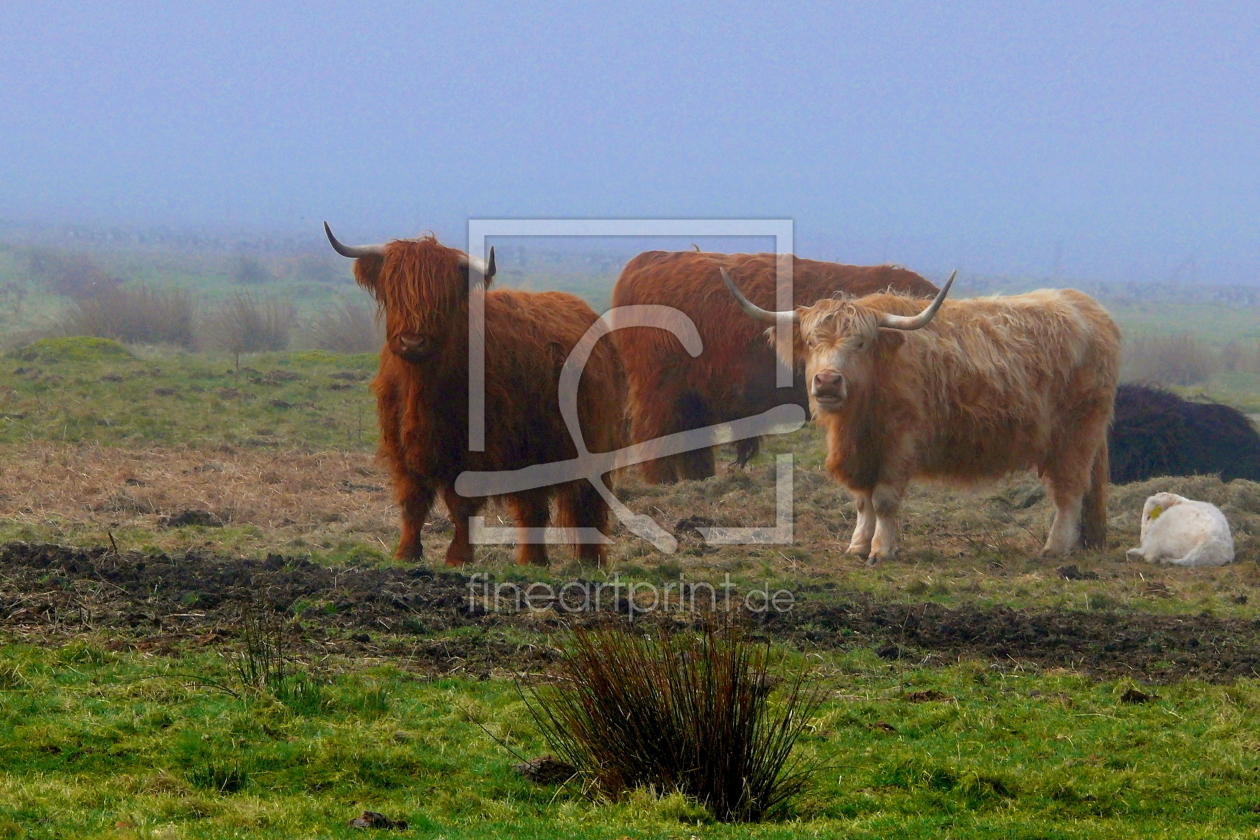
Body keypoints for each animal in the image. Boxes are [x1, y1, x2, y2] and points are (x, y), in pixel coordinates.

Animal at [325, 225, 619, 564]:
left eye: (443, 296)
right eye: (394, 290)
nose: (412, 341)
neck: (422, 387)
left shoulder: (473, 452)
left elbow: (461, 505)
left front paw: (458, 556)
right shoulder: (401, 448)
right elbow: (412, 502)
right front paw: (406, 553)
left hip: (592, 445)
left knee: (588, 503)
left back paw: (589, 560)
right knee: (532, 507)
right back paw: (533, 561)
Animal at [609, 249, 937, 483]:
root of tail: (646, 261)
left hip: (694, 398)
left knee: (692, 447)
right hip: (659, 394)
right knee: (654, 440)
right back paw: (665, 485)